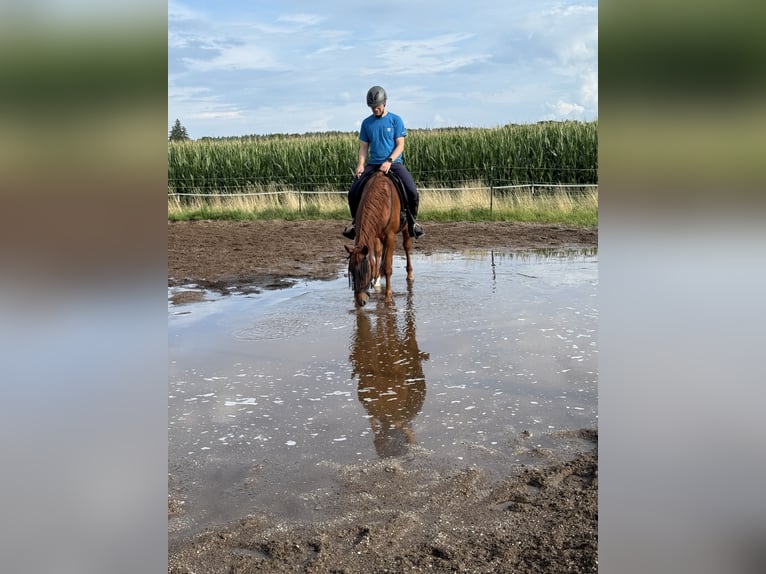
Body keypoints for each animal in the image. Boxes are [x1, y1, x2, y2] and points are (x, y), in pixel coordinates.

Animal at [344, 171, 413, 307]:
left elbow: (387, 268)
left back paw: (410, 274)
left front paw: (388, 296)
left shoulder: (390, 236)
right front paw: (376, 279)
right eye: (352, 272)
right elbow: (376, 254)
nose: (361, 301)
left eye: (366, 272)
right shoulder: (375, 234)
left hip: (406, 228)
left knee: (407, 247)